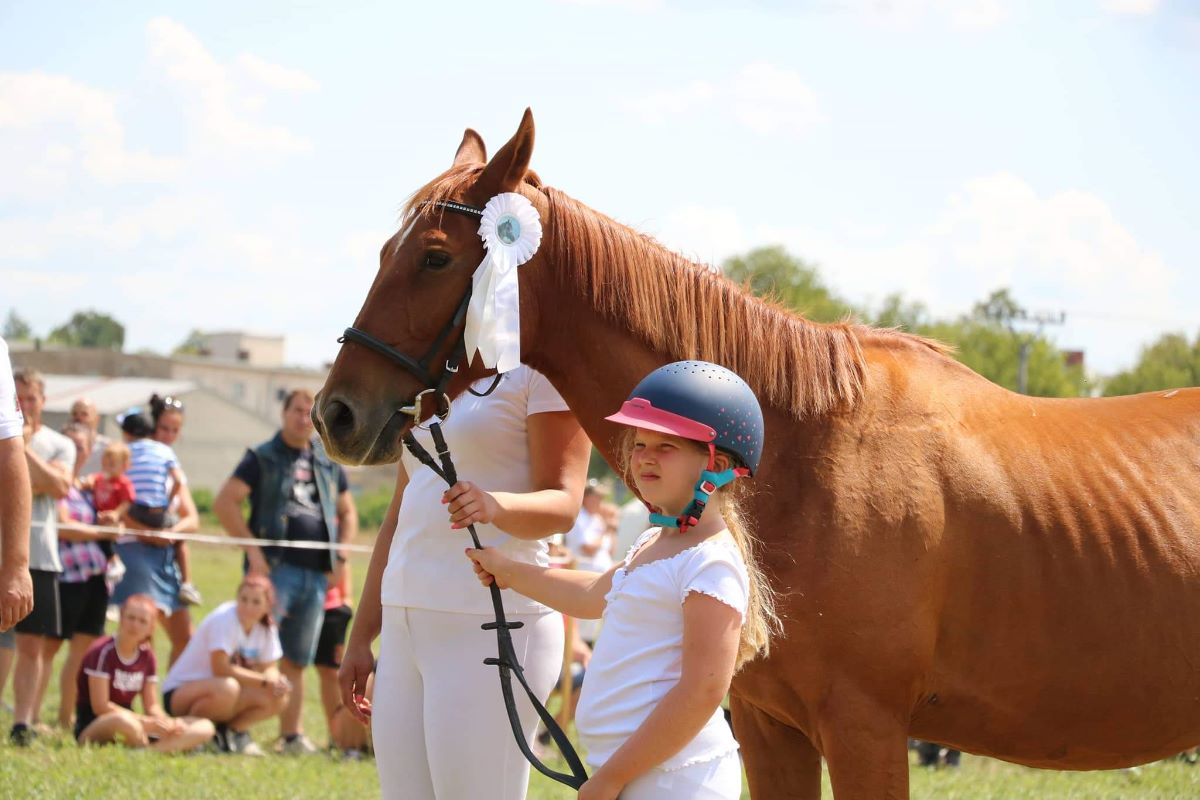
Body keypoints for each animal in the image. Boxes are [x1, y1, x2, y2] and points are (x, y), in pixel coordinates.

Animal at [314, 110, 1200, 798]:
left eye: (434, 256)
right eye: (386, 250)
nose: (336, 412)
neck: (809, 454)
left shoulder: (866, 728)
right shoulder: (774, 729)